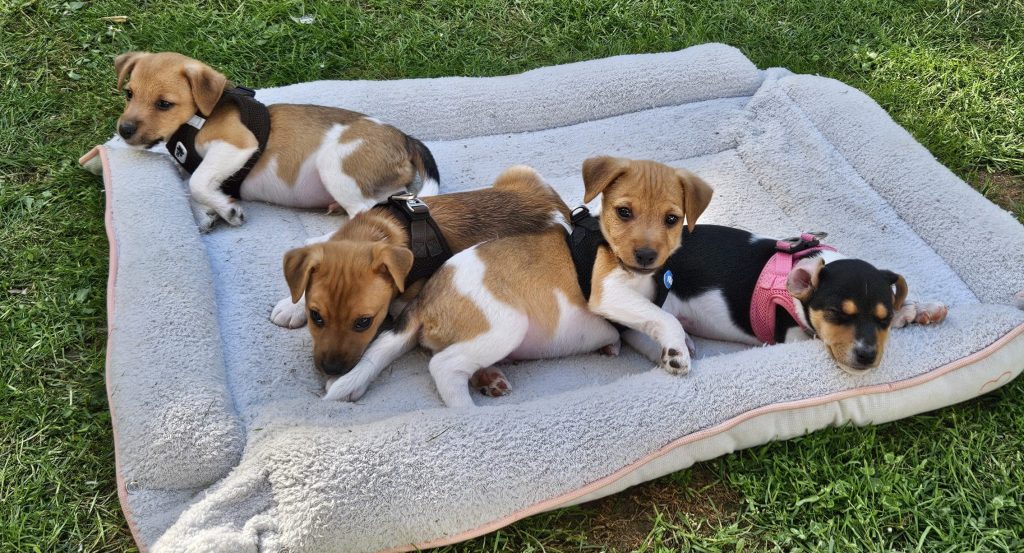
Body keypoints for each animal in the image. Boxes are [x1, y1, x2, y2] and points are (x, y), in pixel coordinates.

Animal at [114, 51, 438, 231]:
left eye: (164, 104)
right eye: (129, 94)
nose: (124, 130)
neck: (200, 117)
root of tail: (406, 139)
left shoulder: (236, 145)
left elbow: (197, 182)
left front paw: (226, 209)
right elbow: (191, 186)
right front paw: (211, 210)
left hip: (335, 164)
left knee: (365, 214)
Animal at [275, 165, 574, 376]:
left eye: (364, 323)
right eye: (316, 316)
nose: (331, 371)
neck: (378, 231)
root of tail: (560, 211)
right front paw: (291, 306)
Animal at [323, 157, 714, 407]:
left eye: (671, 219)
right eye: (624, 212)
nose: (646, 256)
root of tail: (426, 298)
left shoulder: (629, 316)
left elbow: (651, 326)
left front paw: (671, 350)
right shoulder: (609, 295)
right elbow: (666, 318)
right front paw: (677, 350)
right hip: (505, 326)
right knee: (443, 367)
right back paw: (468, 414)